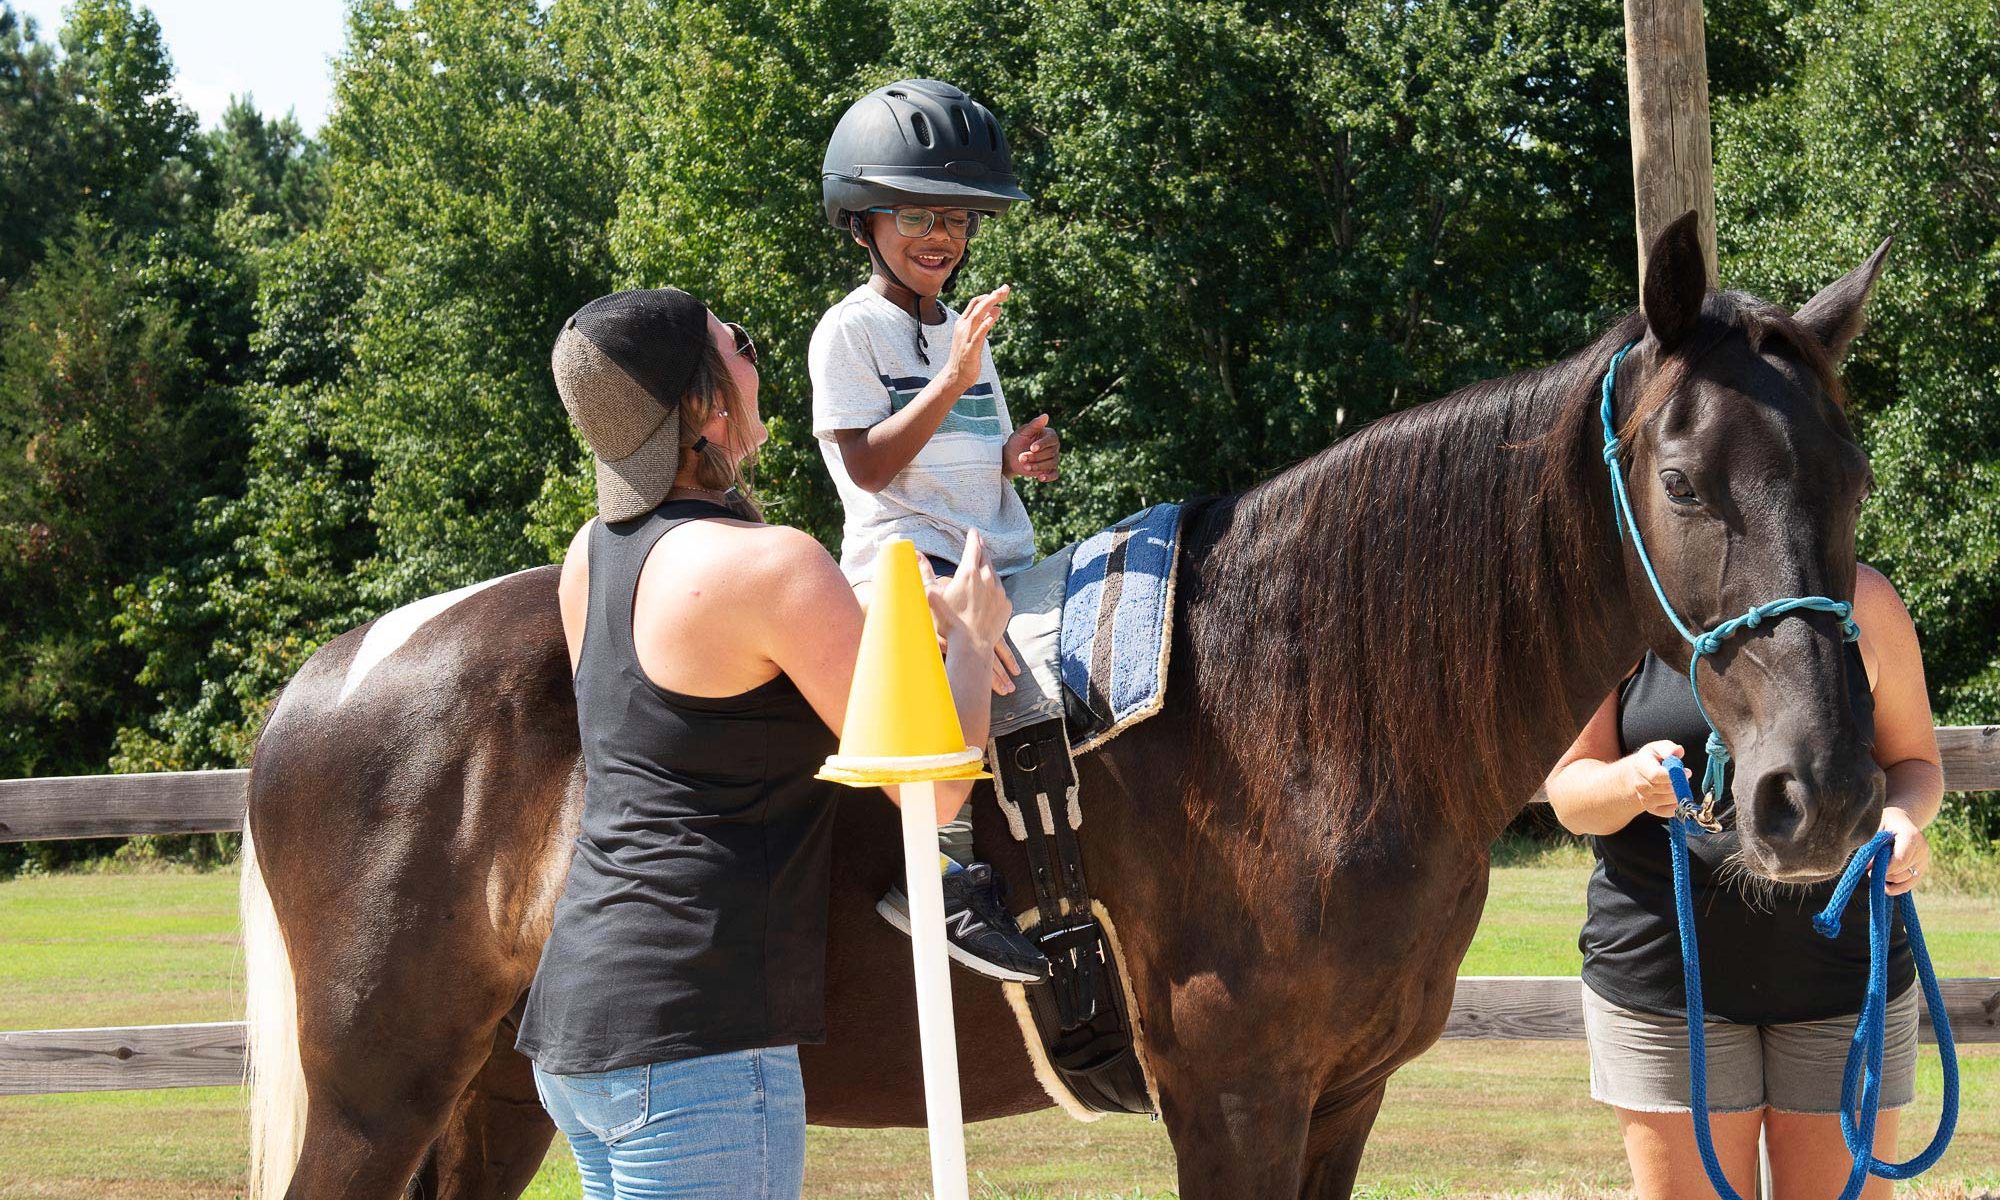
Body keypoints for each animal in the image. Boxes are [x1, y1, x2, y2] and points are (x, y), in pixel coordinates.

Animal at [246, 218, 1888, 1200]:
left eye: (1852, 475)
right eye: (1681, 480)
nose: (1820, 792)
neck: (1304, 715)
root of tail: (338, 672)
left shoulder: (1340, 1098)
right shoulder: (1232, 1096)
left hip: (501, 1094)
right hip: (377, 1096)